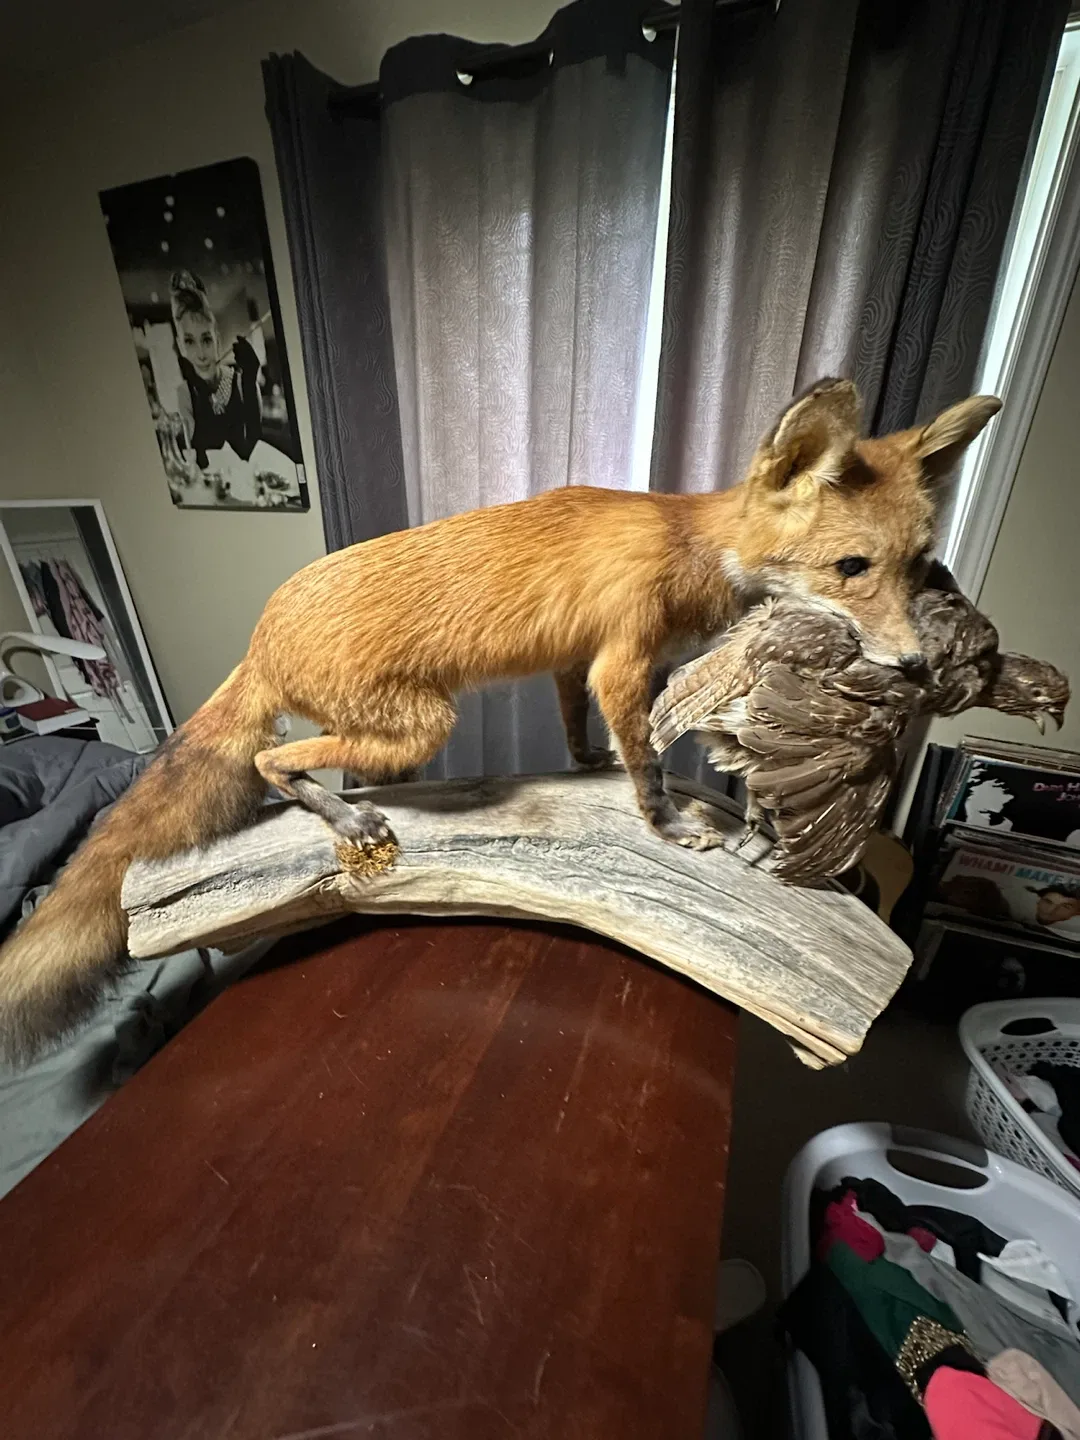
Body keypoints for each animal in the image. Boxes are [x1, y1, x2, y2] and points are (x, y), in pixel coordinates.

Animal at [0, 377, 1000, 1064]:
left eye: (917, 567)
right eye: (850, 569)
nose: (917, 666)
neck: (690, 544)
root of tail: (264, 631)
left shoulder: (576, 662)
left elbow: (582, 732)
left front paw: (590, 768)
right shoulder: (624, 659)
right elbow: (646, 760)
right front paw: (666, 825)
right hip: (420, 725)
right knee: (268, 765)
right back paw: (342, 815)